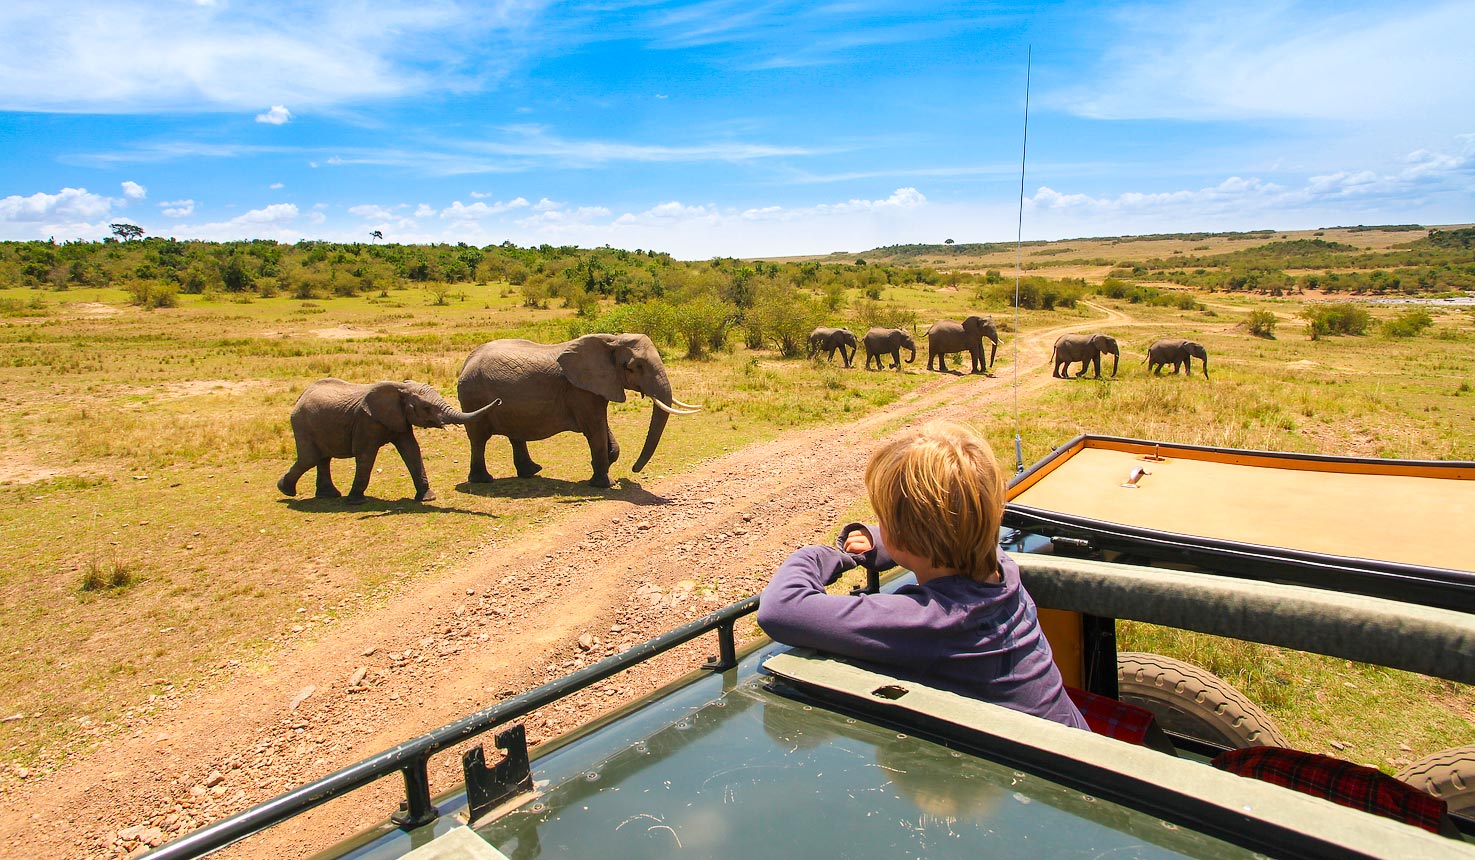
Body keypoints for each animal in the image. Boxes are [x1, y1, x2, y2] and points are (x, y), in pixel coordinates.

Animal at [277, 377, 501, 504]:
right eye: (426, 408)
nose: (499, 400)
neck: (400, 388)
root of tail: (300, 396)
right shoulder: (367, 422)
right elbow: (366, 456)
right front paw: (356, 502)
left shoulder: (399, 419)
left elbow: (411, 450)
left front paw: (428, 497)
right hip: (302, 424)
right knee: (310, 458)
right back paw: (285, 490)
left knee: (322, 459)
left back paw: (327, 495)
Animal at [454, 331, 702, 486]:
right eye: (635, 367)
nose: (633, 470)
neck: (611, 341)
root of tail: (466, 362)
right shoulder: (580, 390)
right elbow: (595, 429)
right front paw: (604, 484)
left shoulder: (598, 387)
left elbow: (602, 425)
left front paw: (605, 462)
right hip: (473, 396)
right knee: (478, 439)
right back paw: (484, 480)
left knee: (515, 435)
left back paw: (532, 472)